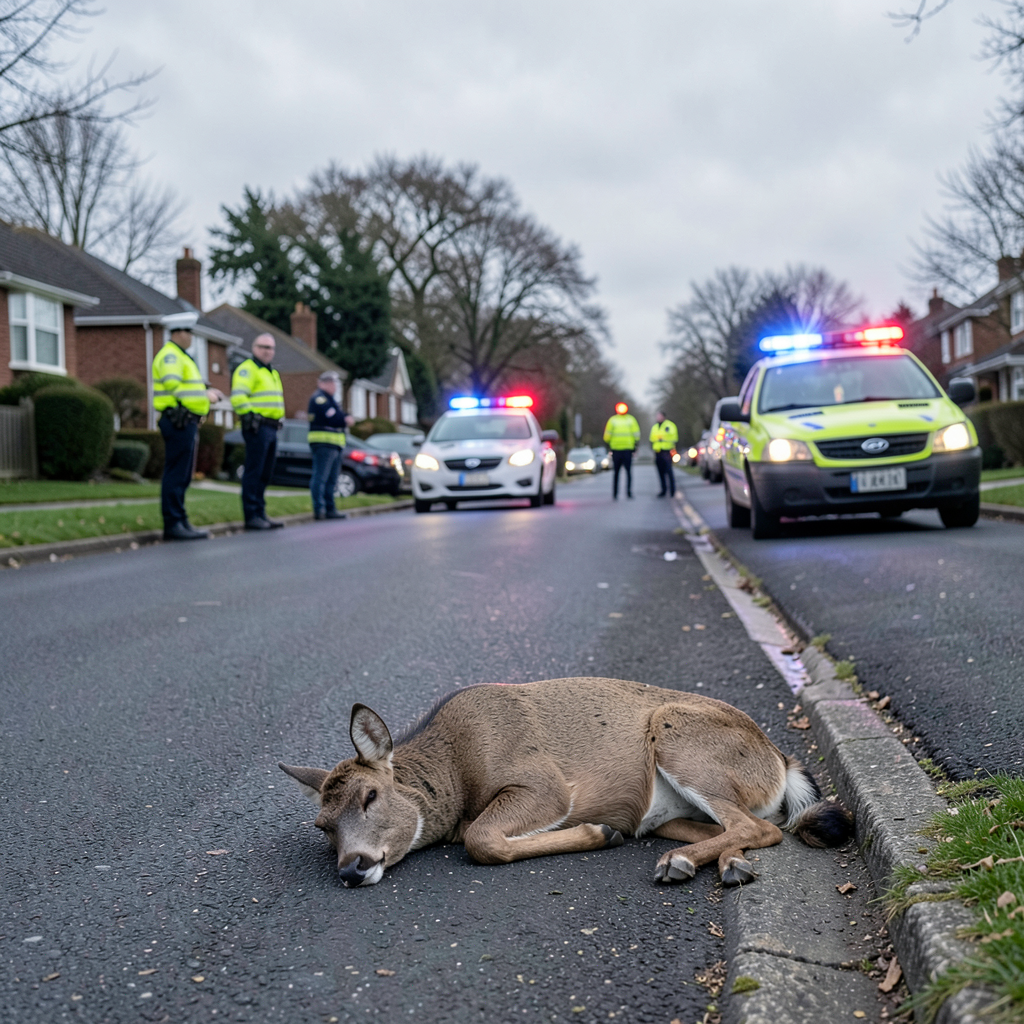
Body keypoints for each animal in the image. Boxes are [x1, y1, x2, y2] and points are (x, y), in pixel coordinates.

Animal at [279, 677, 853, 888]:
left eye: (371, 794)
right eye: (322, 825)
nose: (352, 867)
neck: (456, 772)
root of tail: (779, 758)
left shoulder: (545, 785)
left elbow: (481, 839)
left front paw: (599, 832)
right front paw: (604, 830)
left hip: (678, 738)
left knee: (762, 825)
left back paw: (684, 863)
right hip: (668, 814)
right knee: (740, 826)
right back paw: (720, 864)